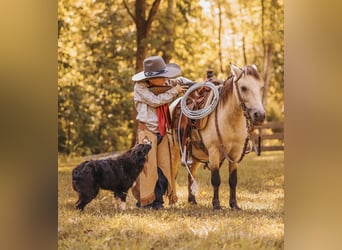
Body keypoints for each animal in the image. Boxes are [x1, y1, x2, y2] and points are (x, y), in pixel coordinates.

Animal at [168, 64, 264, 209]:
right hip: (174, 151)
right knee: (173, 173)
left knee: (191, 174)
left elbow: (233, 180)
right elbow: (215, 179)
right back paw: (172, 199)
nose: (260, 115)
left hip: (195, 155)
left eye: (261, 87)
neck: (230, 120)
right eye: (243, 87)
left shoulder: (235, 153)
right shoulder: (214, 151)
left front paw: (234, 204)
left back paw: (192, 199)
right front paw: (216, 204)